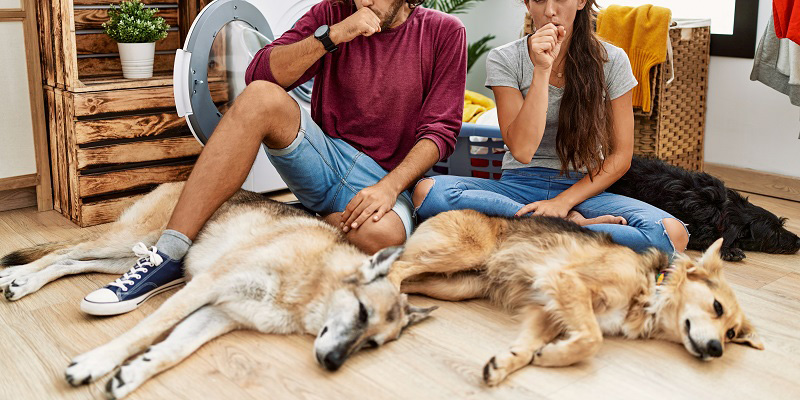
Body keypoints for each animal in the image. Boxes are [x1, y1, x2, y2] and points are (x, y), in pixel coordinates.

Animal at [0, 183, 434, 398]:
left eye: (372, 345)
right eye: (361, 312)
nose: (332, 364)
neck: (312, 283)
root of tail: (179, 180)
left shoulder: (218, 314)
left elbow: (171, 350)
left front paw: (134, 374)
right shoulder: (205, 288)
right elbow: (143, 332)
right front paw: (97, 361)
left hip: (123, 256)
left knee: (71, 262)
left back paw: (24, 280)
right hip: (132, 238)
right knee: (64, 251)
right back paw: (16, 278)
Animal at [390, 211, 764, 386]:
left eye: (731, 335)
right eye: (716, 307)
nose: (716, 351)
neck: (651, 288)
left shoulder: (546, 310)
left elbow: (526, 348)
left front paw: (508, 363)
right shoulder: (566, 281)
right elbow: (592, 340)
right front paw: (554, 356)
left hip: (456, 286)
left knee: (411, 279)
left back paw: (402, 308)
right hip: (463, 254)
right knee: (397, 267)